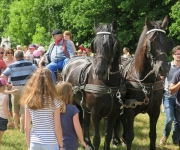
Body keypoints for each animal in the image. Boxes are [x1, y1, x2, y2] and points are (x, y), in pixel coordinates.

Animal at [61, 19, 125, 149]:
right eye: (94, 44)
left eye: (112, 44)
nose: (100, 71)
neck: (108, 86)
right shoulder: (95, 113)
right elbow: (97, 139)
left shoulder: (113, 114)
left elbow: (107, 137)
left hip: (84, 104)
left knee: (85, 121)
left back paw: (87, 142)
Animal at [119, 15, 171, 149]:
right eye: (151, 41)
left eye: (166, 41)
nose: (163, 68)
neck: (145, 81)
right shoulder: (130, 110)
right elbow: (131, 136)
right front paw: (127, 139)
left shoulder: (155, 111)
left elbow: (152, 135)